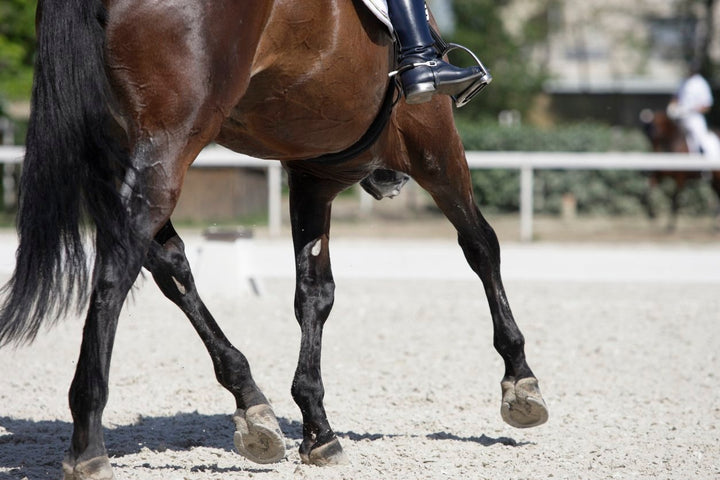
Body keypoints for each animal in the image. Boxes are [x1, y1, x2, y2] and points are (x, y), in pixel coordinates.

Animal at [0, 0, 548, 477]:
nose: (390, 183)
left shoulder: (313, 175)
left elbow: (314, 294)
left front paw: (317, 428)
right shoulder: (431, 135)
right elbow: (481, 245)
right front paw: (520, 381)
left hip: (121, 153)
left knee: (169, 265)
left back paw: (251, 403)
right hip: (168, 147)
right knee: (117, 269)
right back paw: (88, 442)